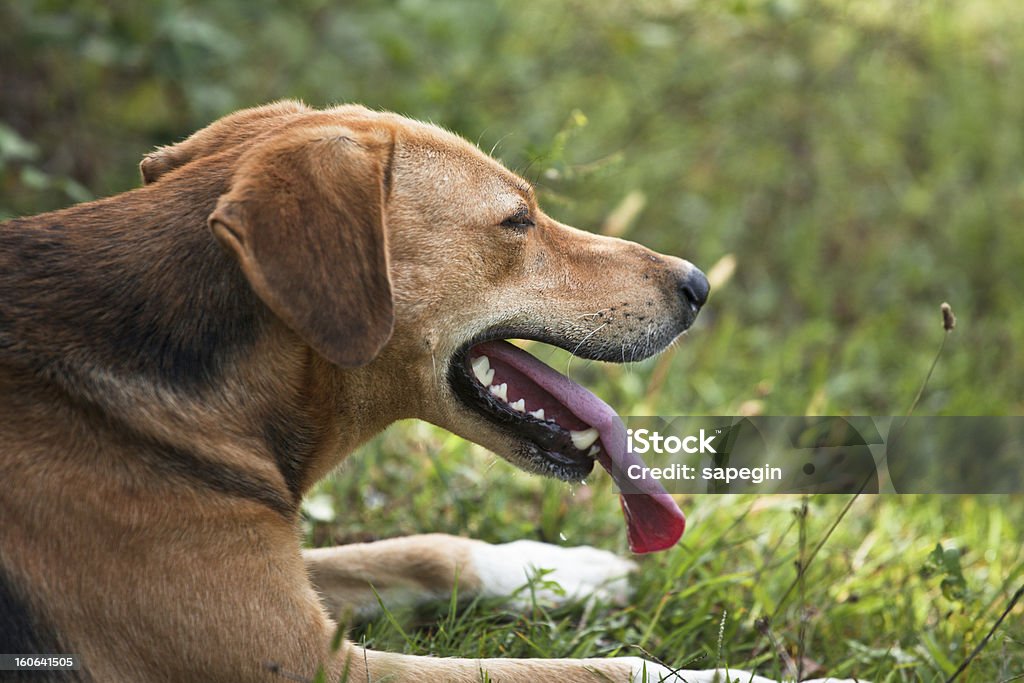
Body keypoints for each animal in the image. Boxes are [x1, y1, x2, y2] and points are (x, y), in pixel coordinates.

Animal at [4, 102, 860, 683]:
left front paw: (562, 572)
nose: (700, 284)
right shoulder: (314, 662)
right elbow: (607, 667)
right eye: (517, 221)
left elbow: (426, 548)